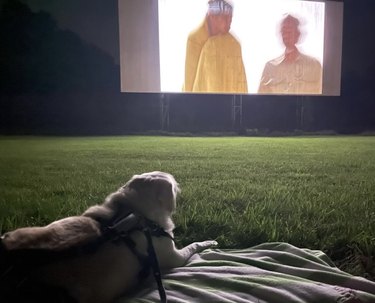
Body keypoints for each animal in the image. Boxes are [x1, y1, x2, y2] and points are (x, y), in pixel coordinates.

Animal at [0, 172, 217, 303]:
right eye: (175, 186)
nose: (180, 186)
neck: (135, 210)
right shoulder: (174, 257)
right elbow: (194, 245)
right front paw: (210, 241)